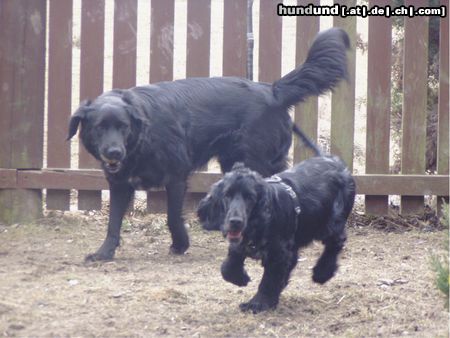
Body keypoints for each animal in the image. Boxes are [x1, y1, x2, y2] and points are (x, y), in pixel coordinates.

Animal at [67, 28, 350, 262]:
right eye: (99, 128)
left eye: (123, 127)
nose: (114, 152)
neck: (143, 137)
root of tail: (272, 91)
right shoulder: (120, 183)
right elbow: (113, 221)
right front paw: (104, 253)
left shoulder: (176, 176)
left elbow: (172, 215)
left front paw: (180, 244)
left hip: (256, 161)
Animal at [199, 149, 356, 314]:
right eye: (227, 195)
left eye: (250, 198)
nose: (235, 221)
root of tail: (337, 162)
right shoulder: (244, 243)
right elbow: (228, 266)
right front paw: (240, 278)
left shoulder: (278, 253)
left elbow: (269, 280)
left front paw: (257, 303)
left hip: (331, 223)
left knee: (336, 242)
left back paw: (322, 272)